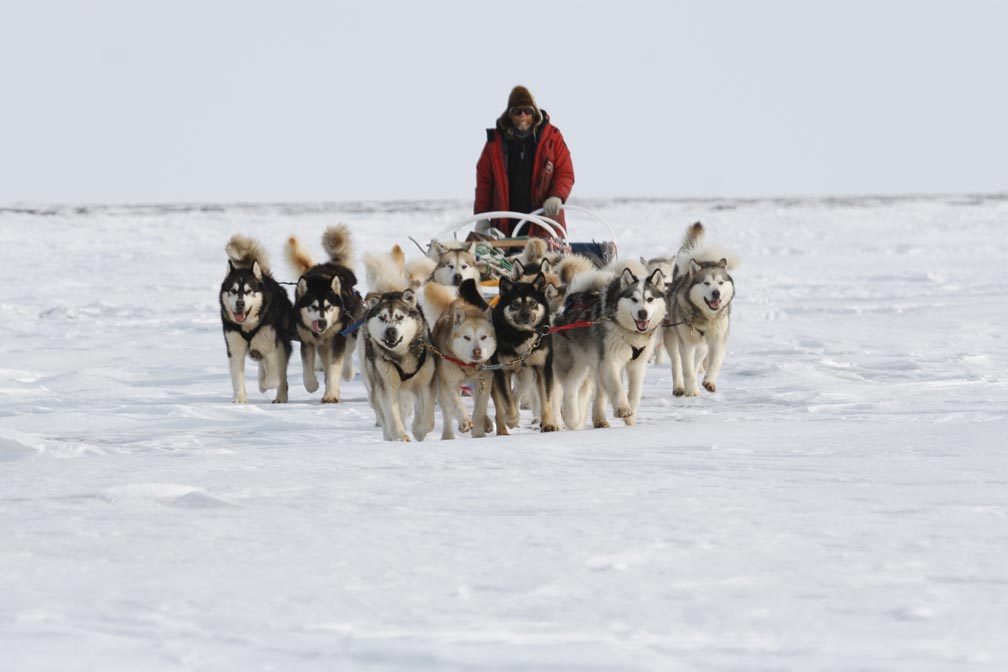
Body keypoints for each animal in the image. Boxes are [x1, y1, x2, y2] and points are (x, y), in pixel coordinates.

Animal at [216, 235, 288, 402]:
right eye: (233, 290)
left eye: (249, 291)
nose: (240, 303)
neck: (248, 327)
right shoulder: (234, 348)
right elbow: (237, 376)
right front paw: (240, 399)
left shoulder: (270, 347)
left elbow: (272, 379)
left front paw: (264, 384)